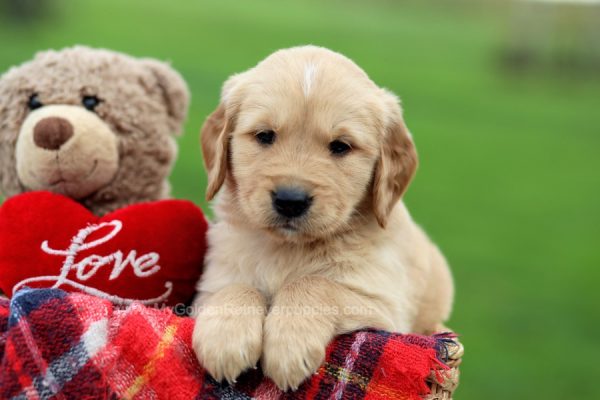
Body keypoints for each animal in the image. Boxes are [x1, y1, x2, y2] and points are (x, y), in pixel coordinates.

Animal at [195, 44, 452, 390]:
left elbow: (314, 283)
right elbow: (237, 287)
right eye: (264, 136)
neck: (287, 249)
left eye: (341, 146)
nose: (290, 201)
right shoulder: (209, 286)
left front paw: (289, 348)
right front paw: (225, 339)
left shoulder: (384, 306)